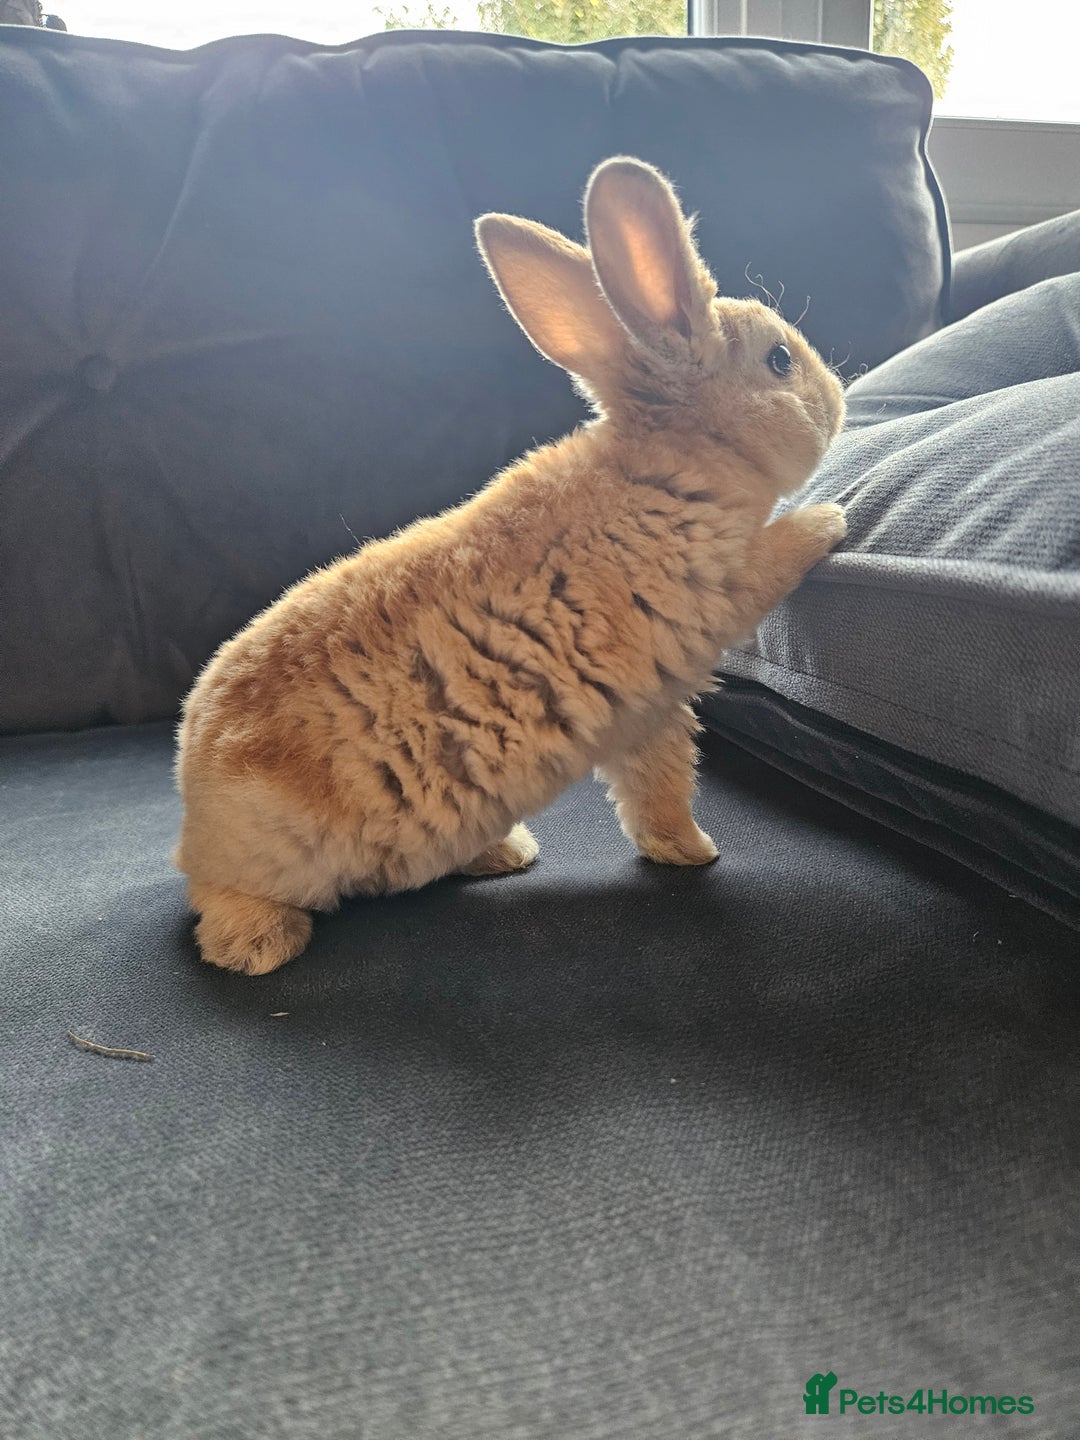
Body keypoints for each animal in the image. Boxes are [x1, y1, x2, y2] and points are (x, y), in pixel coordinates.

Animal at [173, 155, 846, 976]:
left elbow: (649, 793)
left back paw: (508, 854)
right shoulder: (718, 594)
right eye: (780, 361)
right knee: (218, 900)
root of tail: (193, 797)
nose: (839, 393)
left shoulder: (646, 714)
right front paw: (830, 519)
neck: (670, 466)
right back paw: (260, 946)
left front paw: (680, 853)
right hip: (263, 860)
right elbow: (772, 568)